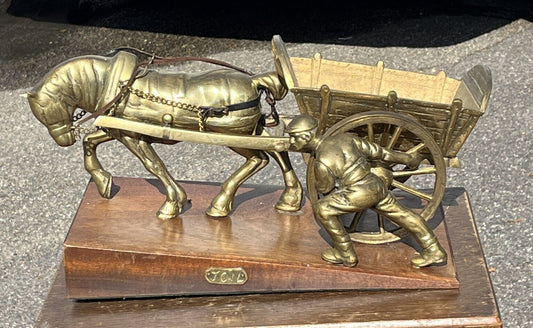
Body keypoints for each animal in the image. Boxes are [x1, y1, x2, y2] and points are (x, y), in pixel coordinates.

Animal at [28, 51, 304, 219]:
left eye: (47, 110)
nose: (64, 140)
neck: (113, 84)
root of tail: (255, 80)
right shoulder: (117, 129)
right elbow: (89, 142)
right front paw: (103, 183)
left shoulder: (132, 136)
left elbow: (154, 165)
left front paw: (173, 203)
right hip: (251, 130)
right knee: (277, 150)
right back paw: (290, 198)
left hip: (232, 135)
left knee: (259, 158)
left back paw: (220, 204)